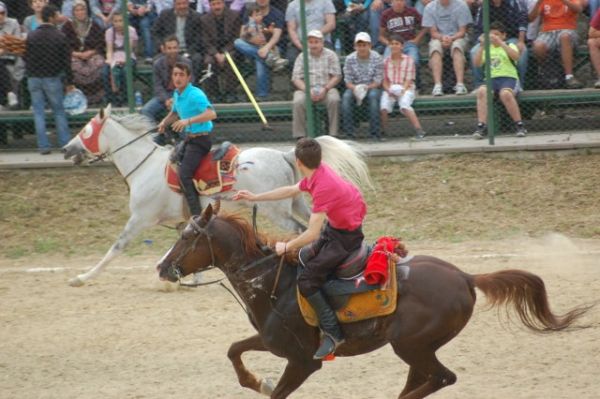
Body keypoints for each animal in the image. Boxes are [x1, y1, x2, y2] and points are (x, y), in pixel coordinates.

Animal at [61, 106, 370, 288]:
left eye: (86, 130)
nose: (65, 149)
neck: (144, 166)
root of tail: (283, 155)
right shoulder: (184, 220)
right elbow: (185, 242)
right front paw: (186, 275)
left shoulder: (139, 219)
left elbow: (116, 248)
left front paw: (82, 277)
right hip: (297, 202)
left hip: (277, 211)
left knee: (300, 231)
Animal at [156, 205, 592, 398]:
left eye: (188, 237)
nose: (162, 267)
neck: (274, 283)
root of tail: (466, 277)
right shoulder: (272, 341)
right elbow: (234, 350)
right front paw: (253, 380)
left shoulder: (302, 361)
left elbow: (276, 389)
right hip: (417, 349)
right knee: (428, 380)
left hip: (411, 346)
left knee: (442, 378)